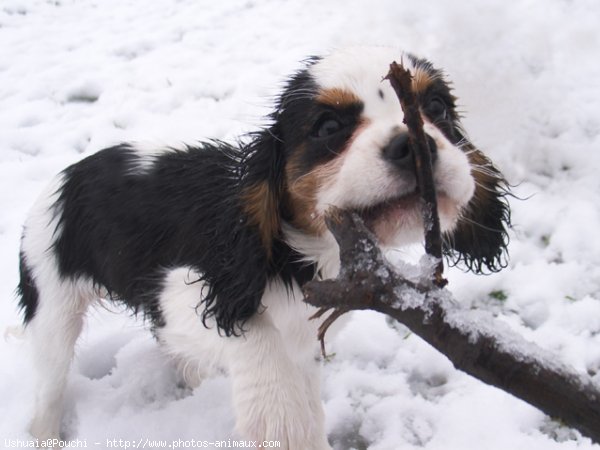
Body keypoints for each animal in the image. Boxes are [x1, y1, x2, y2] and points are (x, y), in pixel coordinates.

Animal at [16, 46, 508, 450]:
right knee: (48, 391)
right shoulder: (183, 288)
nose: (415, 144)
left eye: (437, 107)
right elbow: (253, 333)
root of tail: (65, 177)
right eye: (329, 126)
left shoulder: (304, 340)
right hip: (53, 305)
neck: (313, 251)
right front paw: (278, 415)